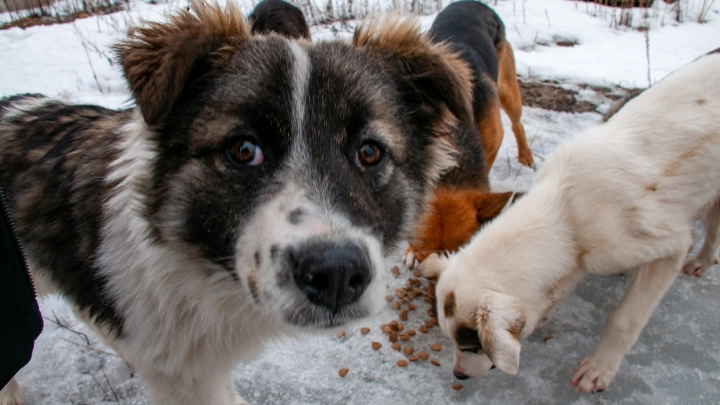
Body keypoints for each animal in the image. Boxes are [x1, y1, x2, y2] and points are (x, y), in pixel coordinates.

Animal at [420, 50, 720, 392]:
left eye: (473, 346)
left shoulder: (665, 247)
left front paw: (599, 368)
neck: (564, 210)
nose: (458, 375)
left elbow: (625, 319)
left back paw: (701, 261)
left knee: (712, 230)